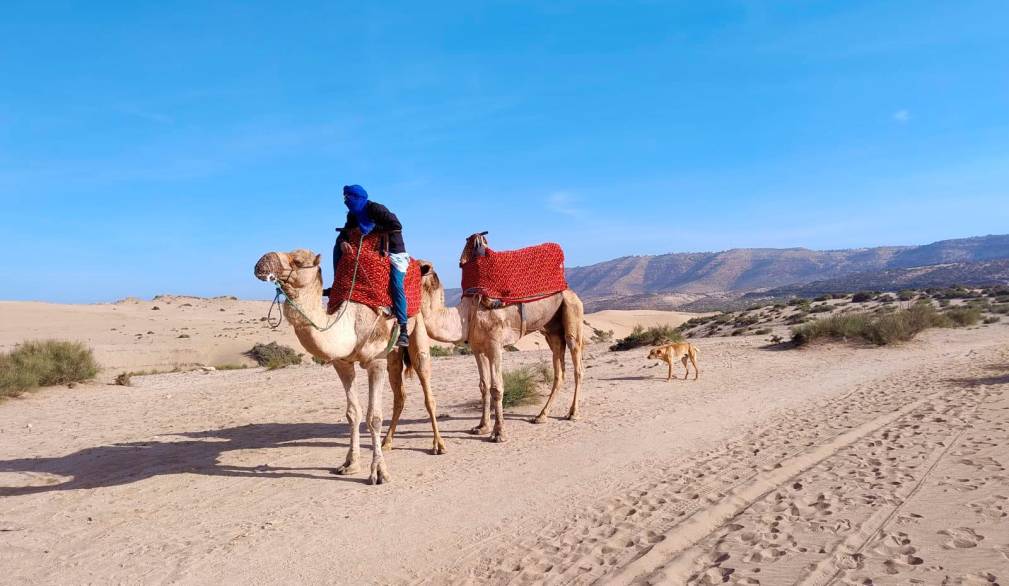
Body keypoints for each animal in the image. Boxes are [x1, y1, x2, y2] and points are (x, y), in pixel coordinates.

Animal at [254, 248, 443, 484]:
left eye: (296, 261)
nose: (262, 262)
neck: (350, 324)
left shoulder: (375, 361)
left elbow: (374, 417)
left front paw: (379, 472)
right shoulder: (342, 364)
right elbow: (353, 413)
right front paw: (350, 464)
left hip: (417, 331)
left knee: (427, 390)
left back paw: (438, 445)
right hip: (393, 354)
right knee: (400, 395)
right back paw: (387, 442)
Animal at [415, 230, 589, 441]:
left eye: (413, 265)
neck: (466, 314)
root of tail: (569, 289)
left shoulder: (495, 345)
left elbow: (496, 387)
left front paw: (499, 433)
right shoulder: (477, 348)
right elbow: (483, 386)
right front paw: (481, 427)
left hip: (572, 312)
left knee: (577, 364)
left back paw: (573, 413)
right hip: (552, 330)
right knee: (559, 370)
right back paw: (541, 416)